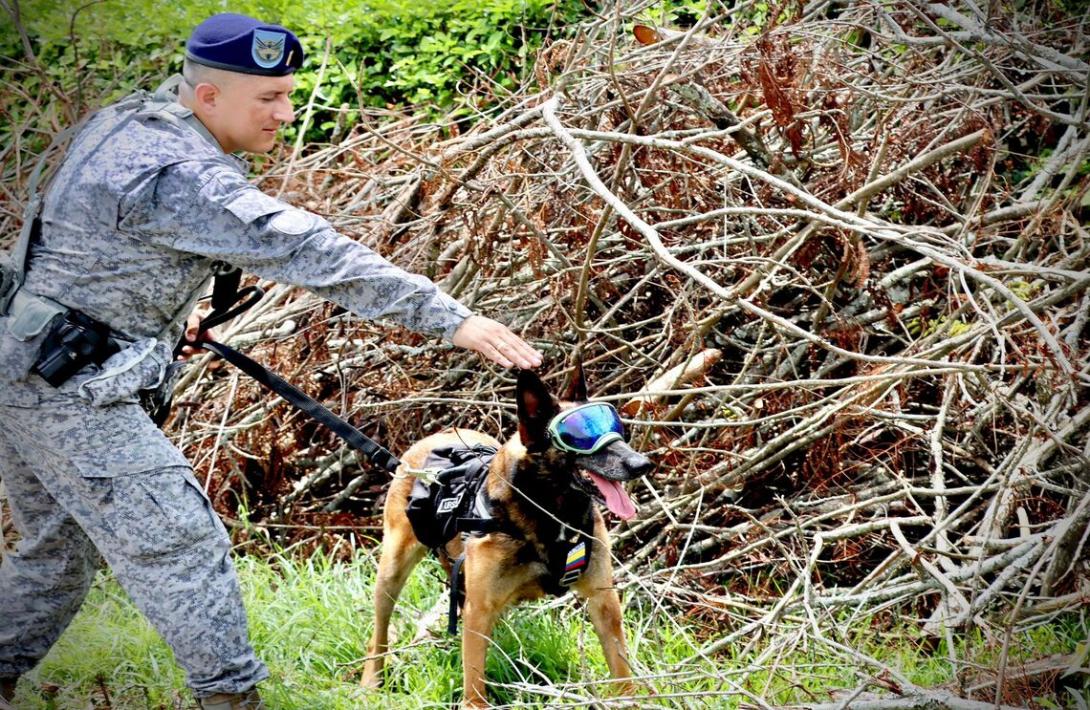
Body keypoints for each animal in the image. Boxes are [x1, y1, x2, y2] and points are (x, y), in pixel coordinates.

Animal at [366, 366, 649, 706]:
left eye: (615, 426)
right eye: (579, 437)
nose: (642, 464)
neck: (549, 511)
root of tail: (435, 437)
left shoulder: (603, 601)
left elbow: (622, 673)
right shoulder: (479, 611)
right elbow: (474, 686)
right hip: (392, 573)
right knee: (378, 635)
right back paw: (369, 684)